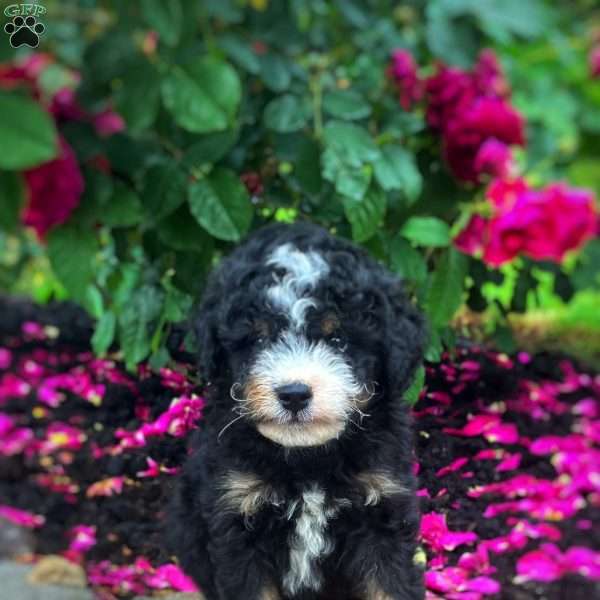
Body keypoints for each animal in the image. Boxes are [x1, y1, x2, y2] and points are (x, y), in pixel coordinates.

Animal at [169, 224, 426, 600]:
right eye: (259, 339)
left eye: (338, 340)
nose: (293, 395)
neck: (308, 461)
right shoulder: (237, 514)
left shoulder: (382, 509)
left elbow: (390, 585)